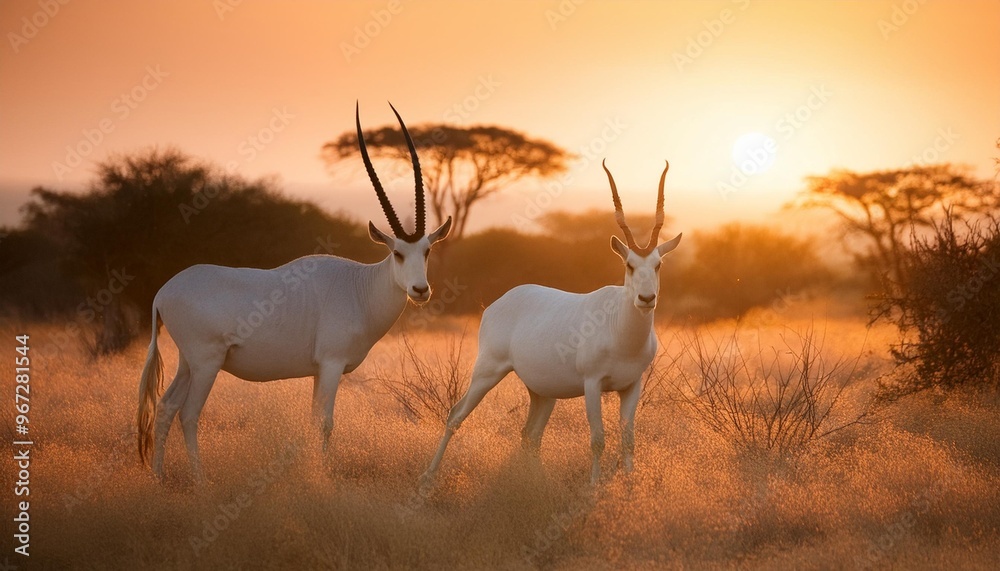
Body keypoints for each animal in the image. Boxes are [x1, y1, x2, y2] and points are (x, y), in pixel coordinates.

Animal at [137, 103, 452, 481]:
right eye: (398, 253)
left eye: (427, 251)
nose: (421, 290)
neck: (359, 285)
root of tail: (163, 294)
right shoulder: (331, 365)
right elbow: (326, 423)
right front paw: (324, 476)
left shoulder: (318, 371)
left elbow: (314, 421)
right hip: (205, 363)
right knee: (188, 413)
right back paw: (200, 481)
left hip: (188, 362)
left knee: (166, 407)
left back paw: (158, 477)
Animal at [422, 160, 681, 485]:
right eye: (629, 264)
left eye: (658, 264)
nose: (646, 298)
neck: (620, 329)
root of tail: (497, 303)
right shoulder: (593, 384)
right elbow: (598, 439)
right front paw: (593, 487)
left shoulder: (631, 386)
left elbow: (628, 441)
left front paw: (630, 487)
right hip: (487, 371)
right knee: (455, 415)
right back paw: (427, 477)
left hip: (542, 393)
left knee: (530, 434)